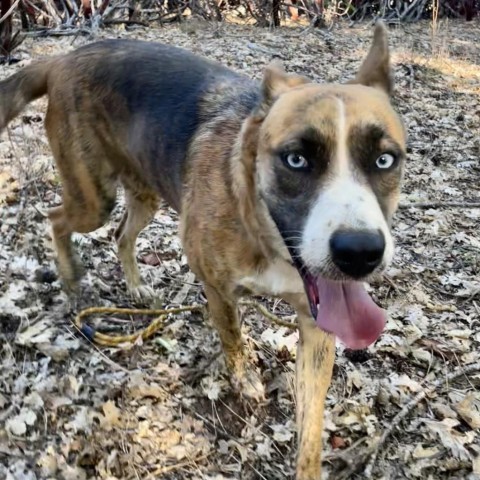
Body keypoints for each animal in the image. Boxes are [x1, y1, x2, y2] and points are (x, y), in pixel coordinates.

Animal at [0, 23, 404, 480]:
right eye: (296, 160)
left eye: (385, 160)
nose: (360, 253)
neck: (263, 230)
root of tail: (64, 58)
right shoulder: (217, 288)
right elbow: (232, 338)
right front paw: (243, 379)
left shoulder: (316, 327)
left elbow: (312, 431)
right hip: (93, 198)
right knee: (56, 219)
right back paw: (70, 275)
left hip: (144, 193)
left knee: (121, 235)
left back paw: (135, 287)